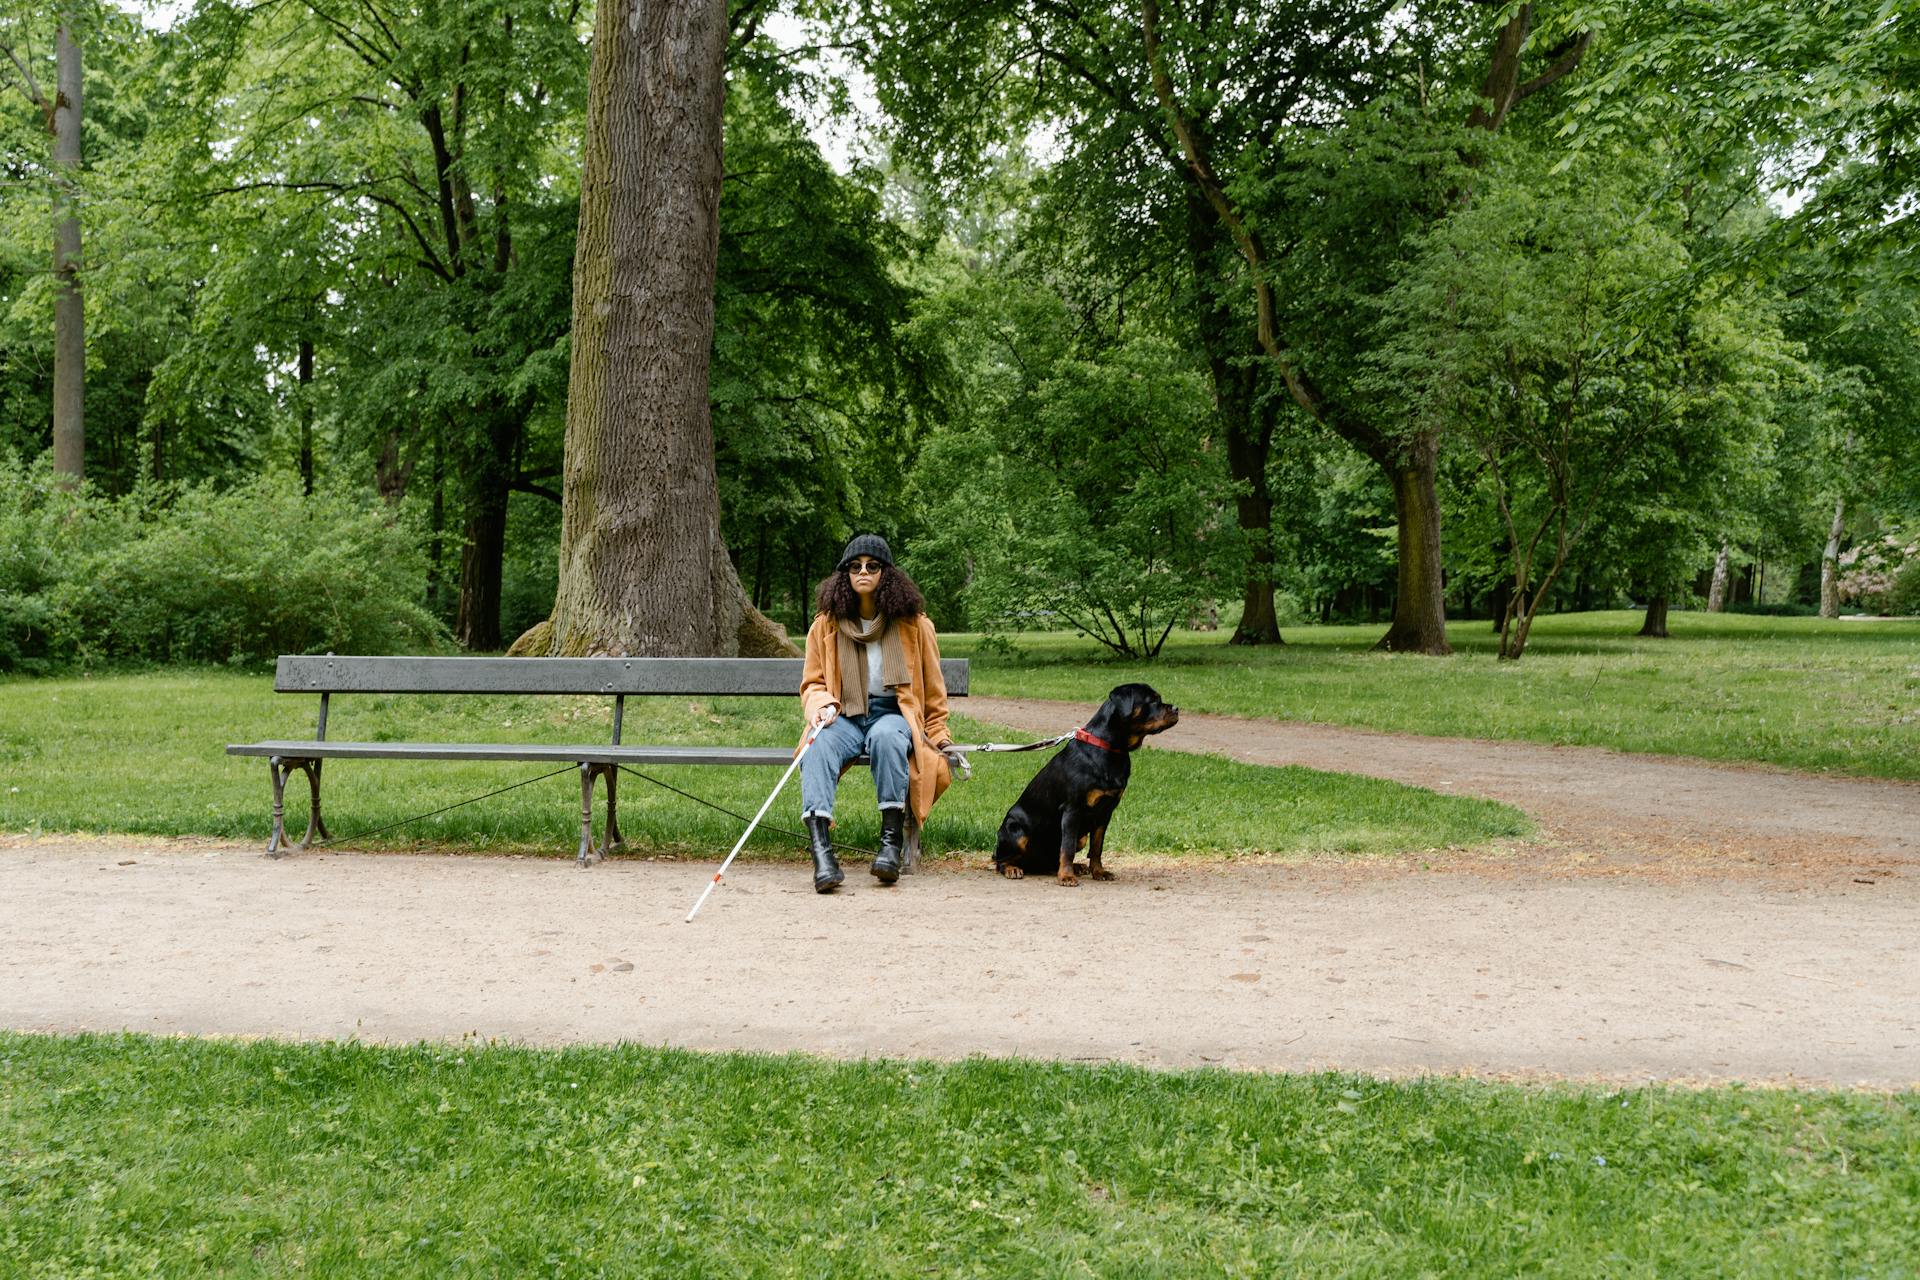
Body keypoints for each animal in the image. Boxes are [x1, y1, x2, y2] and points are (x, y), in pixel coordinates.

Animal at [998, 687, 1175, 886]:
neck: (1110, 749)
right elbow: (1067, 848)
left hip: (1080, 838)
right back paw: (1012, 868)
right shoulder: (1072, 810)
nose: (1176, 708)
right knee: (1000, 860)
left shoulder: (1105, 812)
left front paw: (1098, 872)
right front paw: (1066, 877)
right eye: (1153, 700)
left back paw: (1076, 867)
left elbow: (1097, 847)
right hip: (1016, 831)